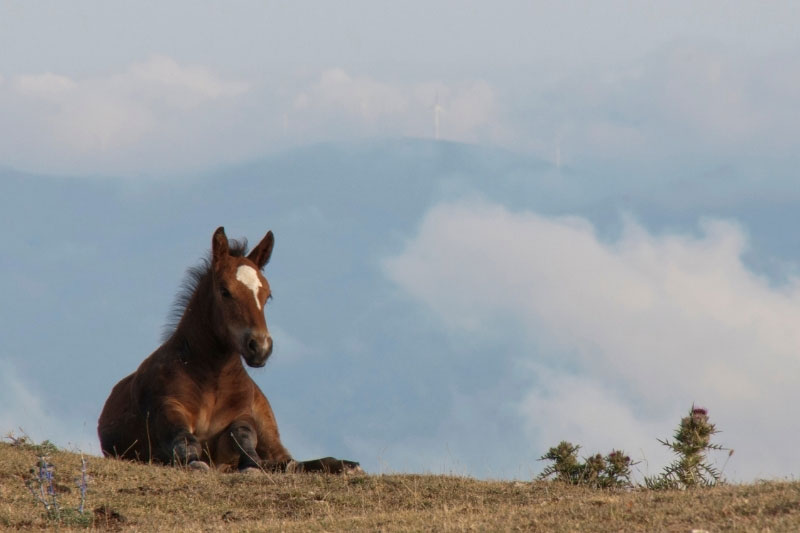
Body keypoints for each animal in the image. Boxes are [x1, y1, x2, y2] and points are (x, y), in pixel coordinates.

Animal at [97, 227, 359, 474]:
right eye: (225, 291)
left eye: (267, 295)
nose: (260, 347)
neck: (212, 379)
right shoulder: (167, 407)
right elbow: (184, 439)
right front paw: (195, 462)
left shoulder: (241, 417)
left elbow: (244, 437)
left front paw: (251, 465)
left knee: (286, 459)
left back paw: (342, 465)